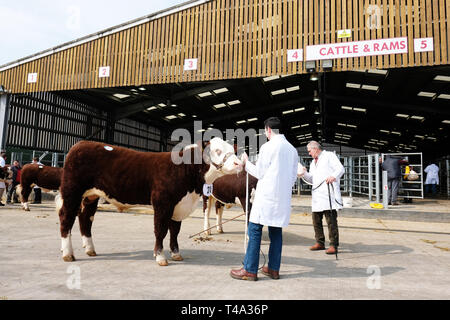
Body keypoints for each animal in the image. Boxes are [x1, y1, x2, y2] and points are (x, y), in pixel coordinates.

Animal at [58, 139, 244, 266]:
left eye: (232, 150)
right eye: (217, 150)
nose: (238, 163)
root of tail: (81, 143)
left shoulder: (178, 207)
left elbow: (174, 231)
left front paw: (176, 254)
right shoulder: (162, 204)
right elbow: (160, 230)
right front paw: (160, 257)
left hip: (91, 196)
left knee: (86, 219)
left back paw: (90, 249)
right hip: (71, 191)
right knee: (66, 218)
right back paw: (68, 254)